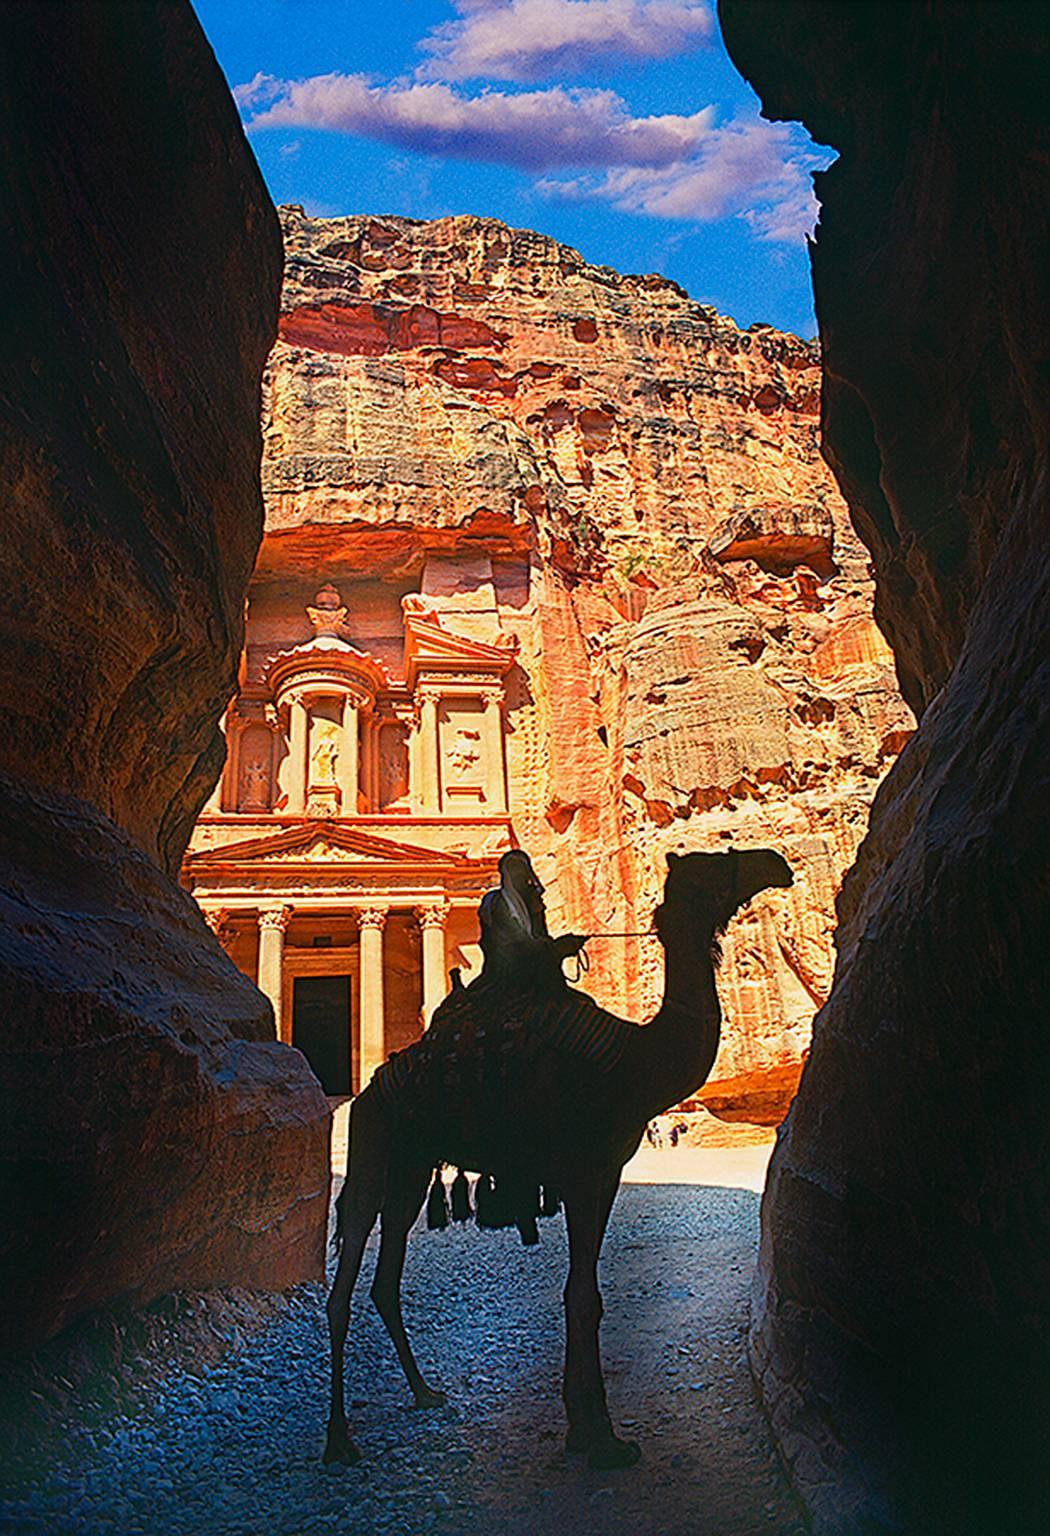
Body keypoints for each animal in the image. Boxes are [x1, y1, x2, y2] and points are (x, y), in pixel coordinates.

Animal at [323, 847, 792, 1468]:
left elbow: (583, 1292)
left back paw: (424, 1392)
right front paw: (599, 1436)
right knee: (344, 1277)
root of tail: (371, 1091)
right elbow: (582, 1296)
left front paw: (585, 1423)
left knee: (386, 1276)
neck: (634, 1060)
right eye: (716, 859)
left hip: (411, 1167)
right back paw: (338, 1439)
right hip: (373, 1149)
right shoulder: (583, 1169)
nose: (777, 862)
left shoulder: (605, 1171)